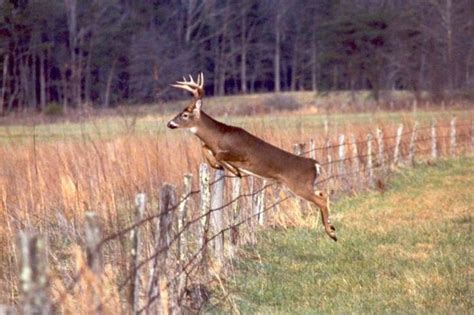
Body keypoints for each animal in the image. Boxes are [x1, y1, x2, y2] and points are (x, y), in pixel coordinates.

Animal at [167, 74, 336, 242]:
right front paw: (218, 166)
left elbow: (219, 154)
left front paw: (234, 170)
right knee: (322, 194)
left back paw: (331, 233)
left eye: (184, 114)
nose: (169, 123)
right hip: (307, 185)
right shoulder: (213, 147)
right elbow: (205, 148)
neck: (219, 137)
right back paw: (331, 226)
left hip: (299, 185)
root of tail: (315, 165)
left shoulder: (243, 154)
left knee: (321, 200)